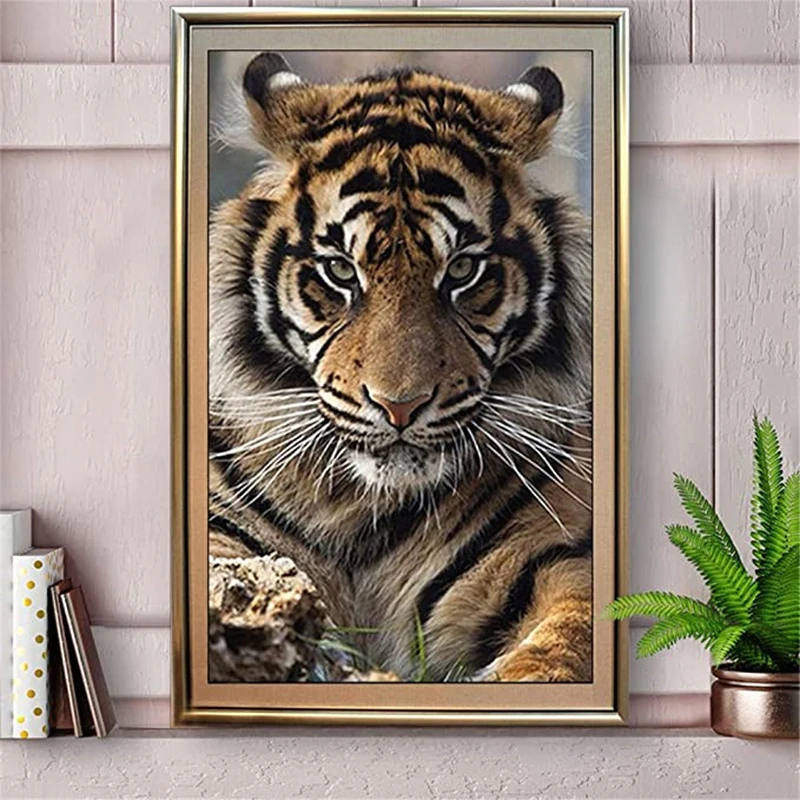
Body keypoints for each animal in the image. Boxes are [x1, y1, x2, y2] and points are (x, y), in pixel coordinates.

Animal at [208, 52, 593, 682]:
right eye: (341, 270)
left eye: (461, 270)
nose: (400, 406)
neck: (358, 506)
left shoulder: (557, 553)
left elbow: (571, 638)